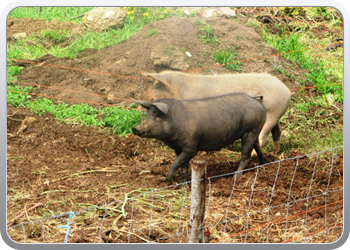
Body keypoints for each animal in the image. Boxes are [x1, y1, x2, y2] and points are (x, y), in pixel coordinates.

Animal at [133, 93, 266, 183]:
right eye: (147, 115)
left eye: (157, 116)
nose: (135, 128)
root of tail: (256, 101)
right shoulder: (178, 148)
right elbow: (183, 164)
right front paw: (182, 182)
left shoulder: (191, 147)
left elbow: (179, 161)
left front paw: (169, 178)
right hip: (254, 131)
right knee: (257, 145)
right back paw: (265, 163)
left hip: (251, 130)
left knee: (246, 155)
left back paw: (235, 177)